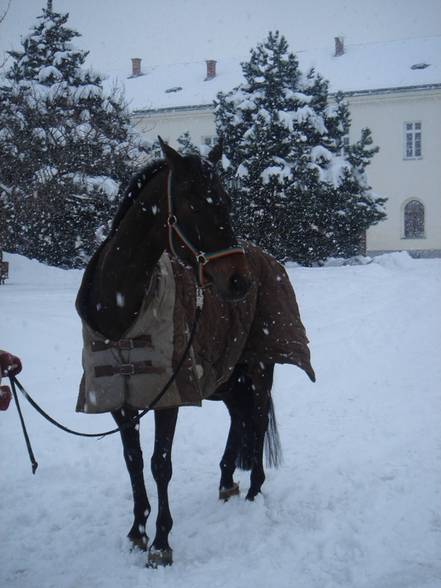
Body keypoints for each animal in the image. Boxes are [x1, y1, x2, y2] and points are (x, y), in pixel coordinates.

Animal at [75, 139, 312, 568]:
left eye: (227, 201)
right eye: (194, 203)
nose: (239, 281)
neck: (121, 312)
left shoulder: (169, 393)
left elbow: (160, 464)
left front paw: (161, 543)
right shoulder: (120, 399)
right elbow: (133, 461)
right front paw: (137, 532)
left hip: (259, 367)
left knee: (255, 418)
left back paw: (253, 491)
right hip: (225, 373)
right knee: (239, 416)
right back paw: (226, 481)